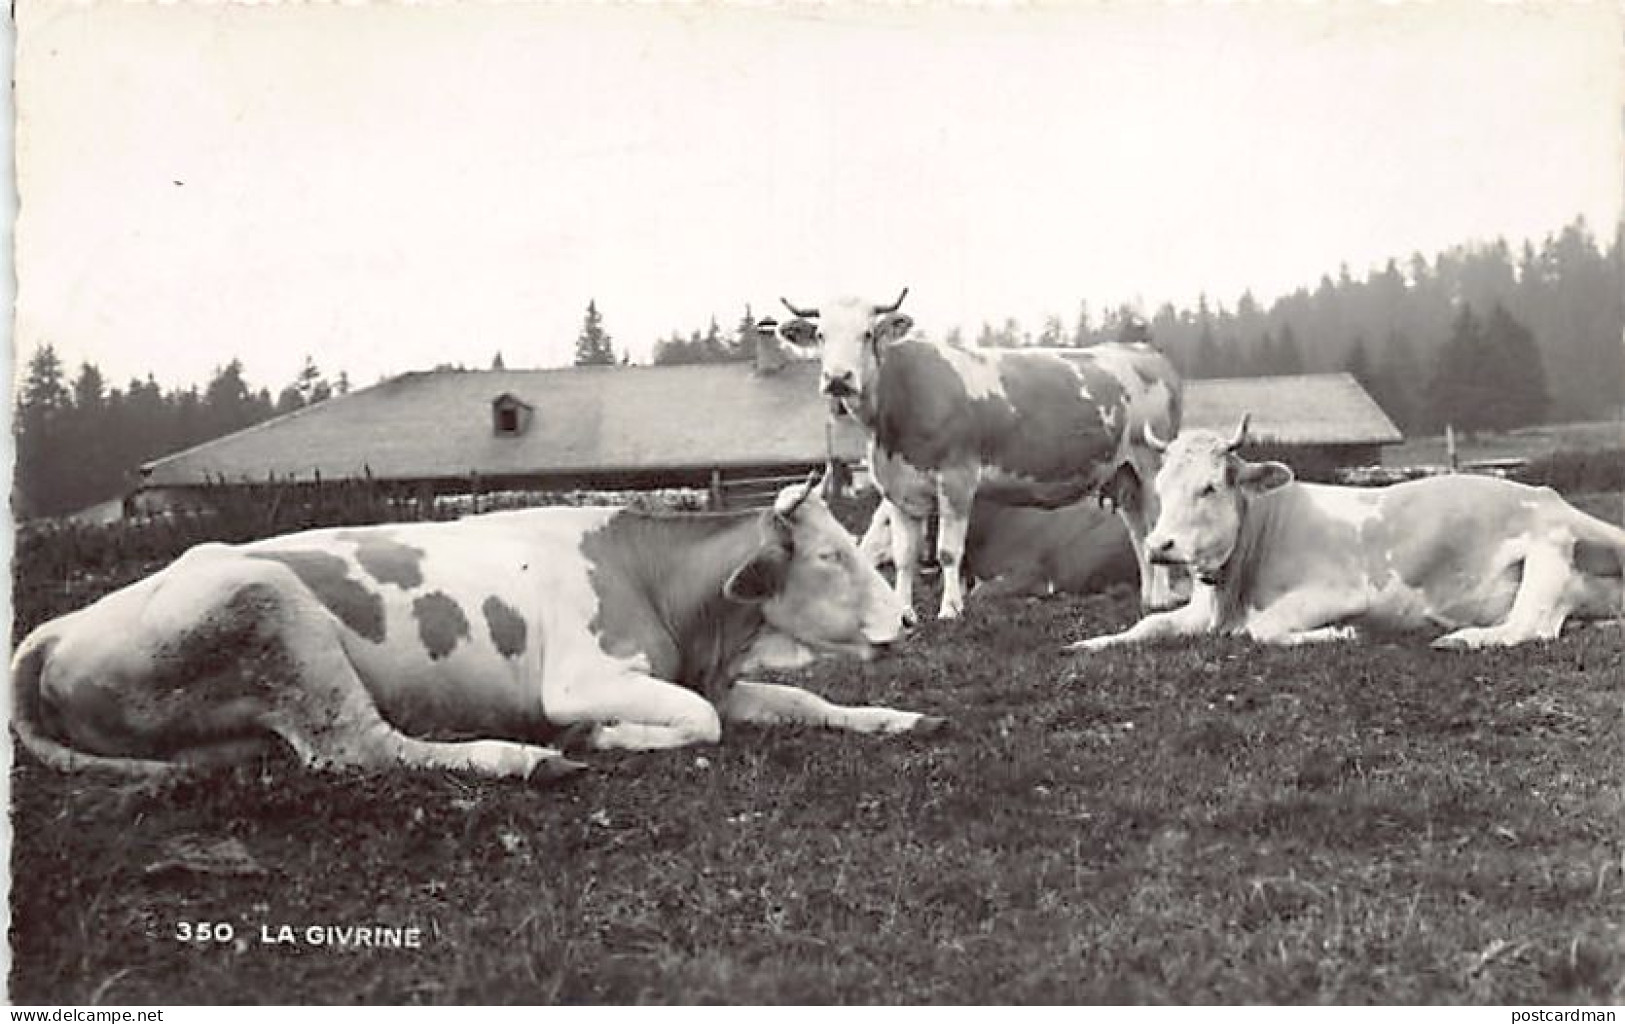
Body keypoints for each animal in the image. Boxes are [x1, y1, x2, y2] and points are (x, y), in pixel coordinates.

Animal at [10, 477, 944, 780]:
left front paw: (897, 717)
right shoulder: (581, 679)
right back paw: (527, 759)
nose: (907, 617)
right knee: (361, 747)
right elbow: (703, 721)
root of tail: (57, 628)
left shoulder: (701, 670)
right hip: (273, 615)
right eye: (827, 555)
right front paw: (601, 738)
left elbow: (800, 702)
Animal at [778, 289, 1183, 622]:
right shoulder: (897, 488)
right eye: (821, 335)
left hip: (1152, 466)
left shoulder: (957, 479)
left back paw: (1166, 599)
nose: (838, 378)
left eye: (866, 334)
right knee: (1139, 533)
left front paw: (950, 610)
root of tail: (1143, 351)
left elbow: (947, 552)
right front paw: (905, 614)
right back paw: (1149, 598)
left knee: (1157, 528)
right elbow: (905, 556)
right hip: (1125, 474)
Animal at [1069, 416, 1625, 650]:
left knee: (1530, 626)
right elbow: (1147, 625)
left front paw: (1341, 633)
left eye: (1209, 487)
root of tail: (1556, 496)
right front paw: (1092, 643)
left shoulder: (1341, 591)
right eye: (1162, 486)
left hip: (1549, 551)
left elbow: (1265, 629)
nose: (1160, 546)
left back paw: (1461, 638)